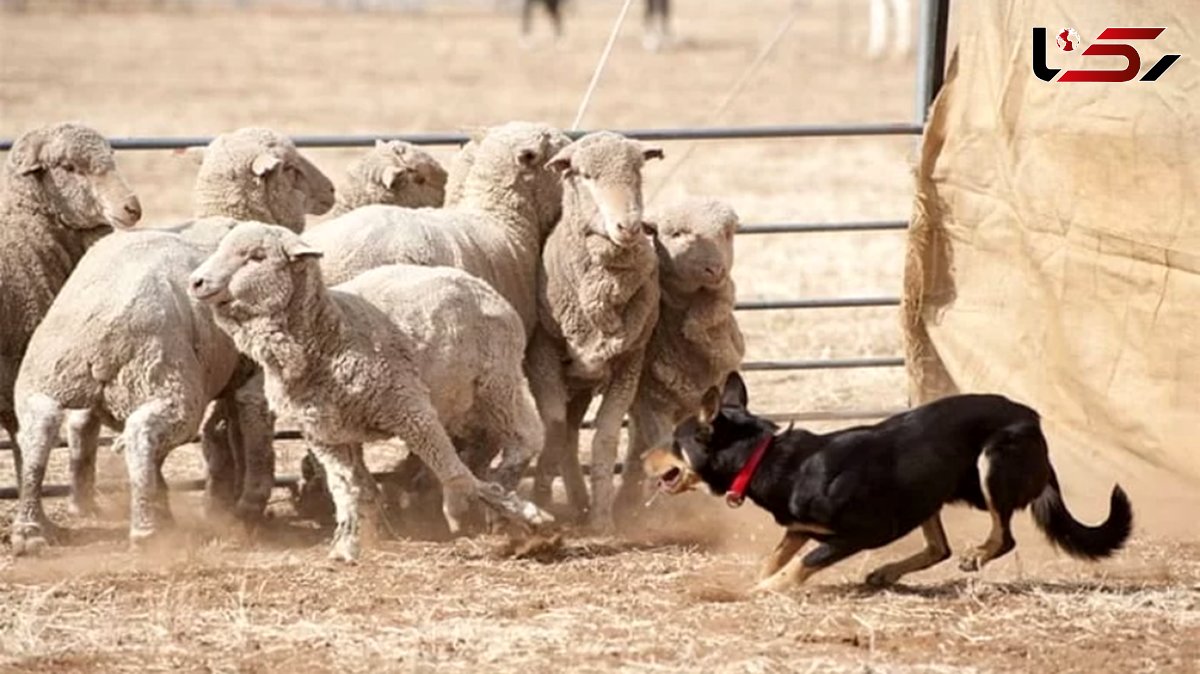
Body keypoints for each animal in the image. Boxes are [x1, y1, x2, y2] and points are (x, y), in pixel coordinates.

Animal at [189, 221, 549, 561]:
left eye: (256, 256)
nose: (196, 282)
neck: (330, 335)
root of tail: (477, 283)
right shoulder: (327, 437)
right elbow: (348, 489)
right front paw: (347, 543)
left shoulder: (412, 410)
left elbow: (453, 470)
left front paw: (513, 511)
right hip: (460, 399)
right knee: (488, 440)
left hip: (498, 382)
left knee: (527, 438)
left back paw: (500, 494)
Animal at [528, 130, 667, 530]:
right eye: (586, 175)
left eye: (637, 171)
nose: (630, 227)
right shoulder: (542, 355)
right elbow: (554, 427)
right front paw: (539, 501)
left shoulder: (630, 362)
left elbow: (604, 437)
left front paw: (603, 520)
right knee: (567, 431)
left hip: (584, 381)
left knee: (576, 432)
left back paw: (581, 502)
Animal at [643, 371, 1128, 587]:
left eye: (673, 439)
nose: (645, 456)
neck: (764, 457)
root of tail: (1032, 419)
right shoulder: (800, 528)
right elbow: (775, 558)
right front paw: (756, 584)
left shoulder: (862, 532)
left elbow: (803, 563)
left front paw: (769, 591)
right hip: (928, 488)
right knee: (937, 547)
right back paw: (885, 574)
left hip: (992, 465)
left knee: (1002, 536)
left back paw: (975, 555)